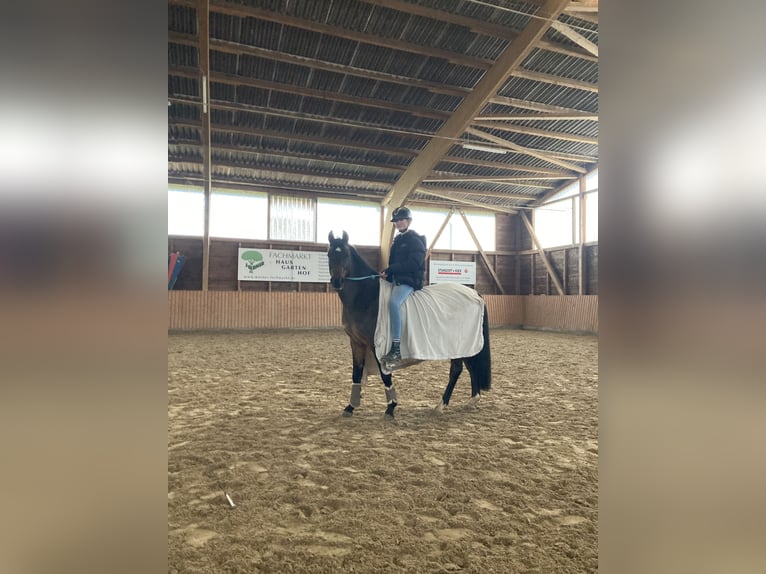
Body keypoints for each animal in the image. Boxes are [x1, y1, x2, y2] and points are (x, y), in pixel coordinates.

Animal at [324, 232, 492, 420]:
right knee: (471, 366)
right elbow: (356, 373)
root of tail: (474, 293)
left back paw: (441, 405)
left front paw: (391, 408)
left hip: (459, 343)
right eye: (329, 255)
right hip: (467, 344)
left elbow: (385, 375)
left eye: (345, 255)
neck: (366, 296)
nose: (337, 281)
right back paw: (472, 400)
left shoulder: (377, 346)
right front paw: (350, 407)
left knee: (456, 370)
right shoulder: (357, 342)